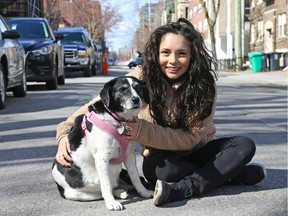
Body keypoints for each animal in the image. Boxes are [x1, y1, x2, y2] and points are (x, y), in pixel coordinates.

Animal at [53, 76, 154, 211]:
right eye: (122, 89)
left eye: (139, 88)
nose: (136, 99)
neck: (117, 120)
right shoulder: (102, 158)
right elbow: (106, 185)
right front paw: (111, 203)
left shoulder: (129, 155)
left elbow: (135, 177)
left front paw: (143, 192)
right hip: (78, 193)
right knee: (101, 191)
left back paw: (121, 191)